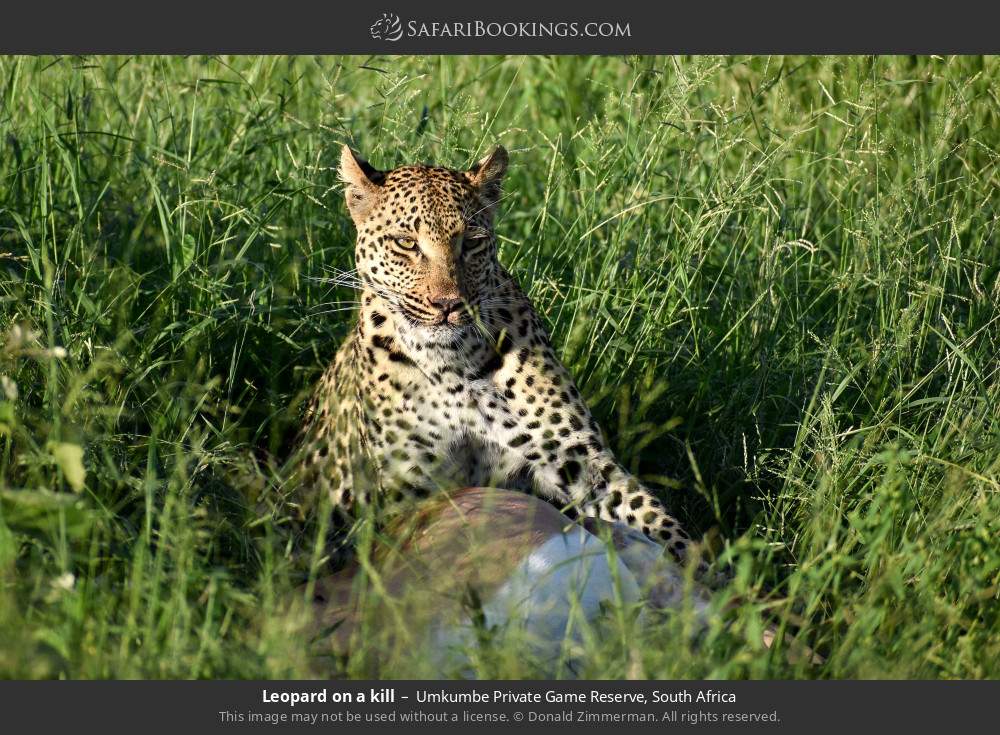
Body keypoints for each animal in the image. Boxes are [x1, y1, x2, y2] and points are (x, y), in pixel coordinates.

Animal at [290, 144, 701, 568]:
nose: (447, 305)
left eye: (471, 242)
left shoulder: (579, 460)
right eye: (405, 242)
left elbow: (657, 524)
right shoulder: (405, 487)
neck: (450, 363)